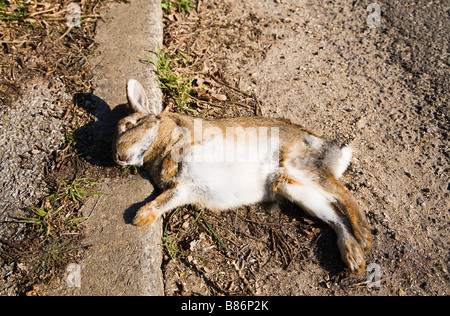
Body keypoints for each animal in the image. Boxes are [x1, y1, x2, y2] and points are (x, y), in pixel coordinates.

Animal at [113, 78, 372, 272]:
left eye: (130, 124)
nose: (118, 156)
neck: (157, 142)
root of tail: (334, 154)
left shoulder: (194, 138)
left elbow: (179, 147)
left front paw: (165, 170)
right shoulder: (182, 189)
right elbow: (162, 201)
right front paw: (141, 217)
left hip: (301, 167)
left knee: (343, 194)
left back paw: (364, 237)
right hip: (293, 187)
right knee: (335, 216)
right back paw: (354, 257)